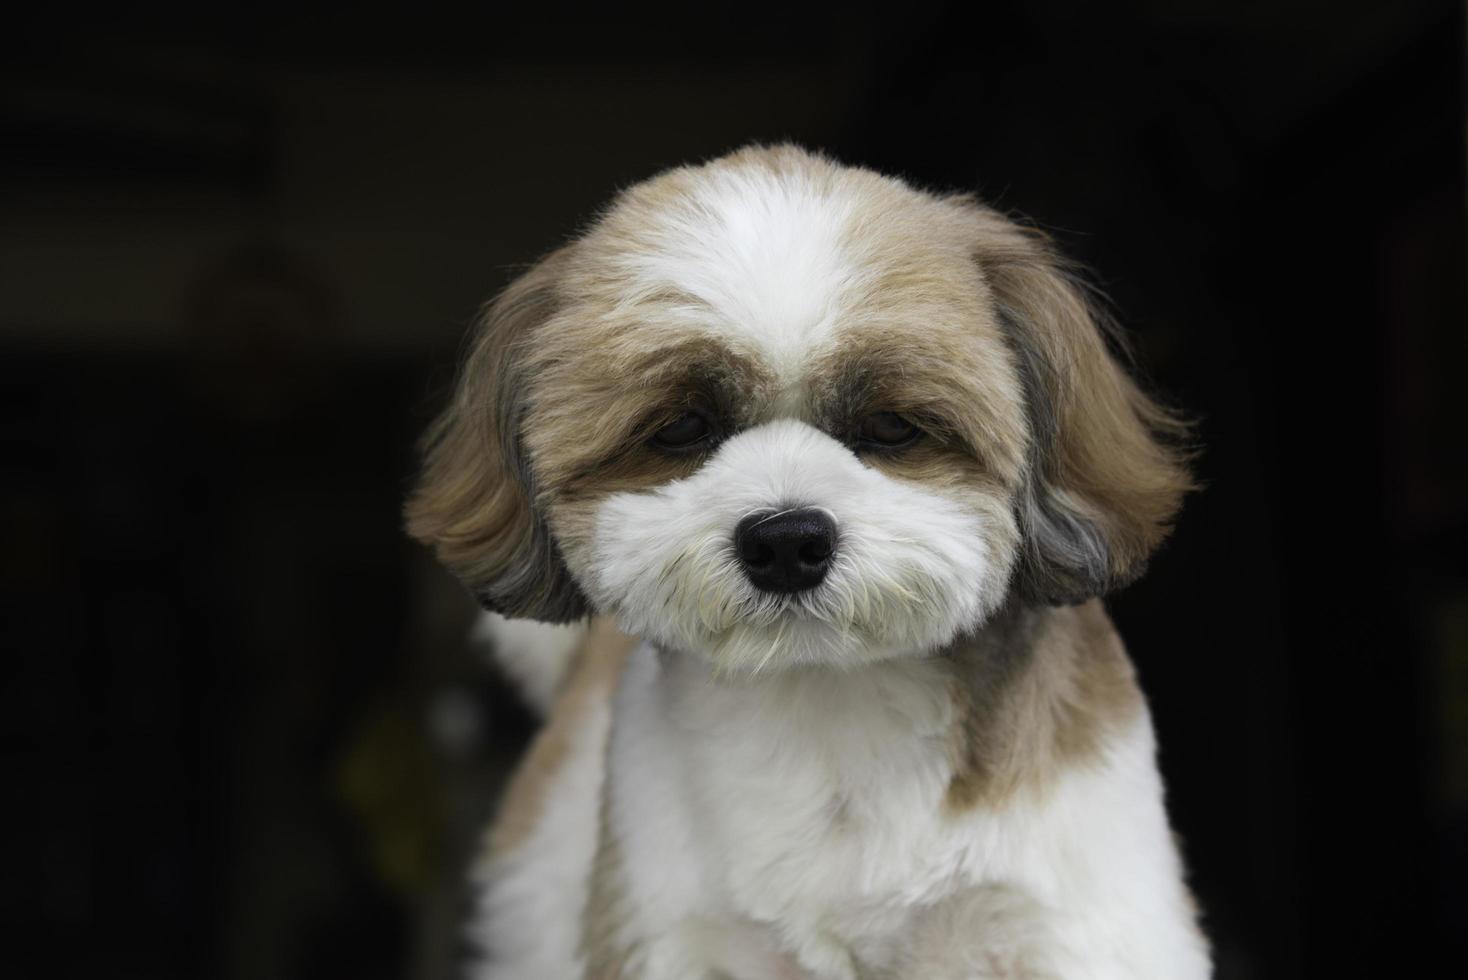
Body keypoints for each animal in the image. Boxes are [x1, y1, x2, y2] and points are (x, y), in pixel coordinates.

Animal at [408, 145, 1209, 979]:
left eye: (892, 426)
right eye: (682, 427)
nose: (786, 540)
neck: (832, 708)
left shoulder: (1064, 925)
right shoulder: (673, 933)